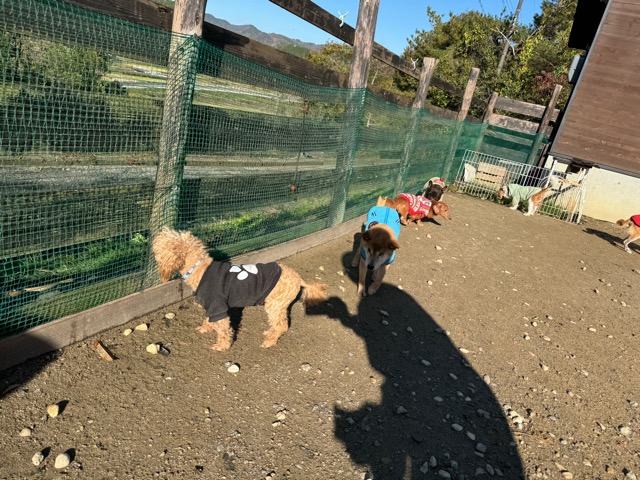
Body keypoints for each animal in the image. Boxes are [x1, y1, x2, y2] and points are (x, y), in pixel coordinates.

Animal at [152, 227, 327, 351]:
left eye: (159, 248)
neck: (199, 268)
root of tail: (299, 279)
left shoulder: (217, 306)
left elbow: (223, 328)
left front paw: (222, 346)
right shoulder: (211, 307)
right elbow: (209, 319)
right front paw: (205, 328)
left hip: (275, 305)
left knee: (282, 325)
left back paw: (270, 341)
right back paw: (270, 333)